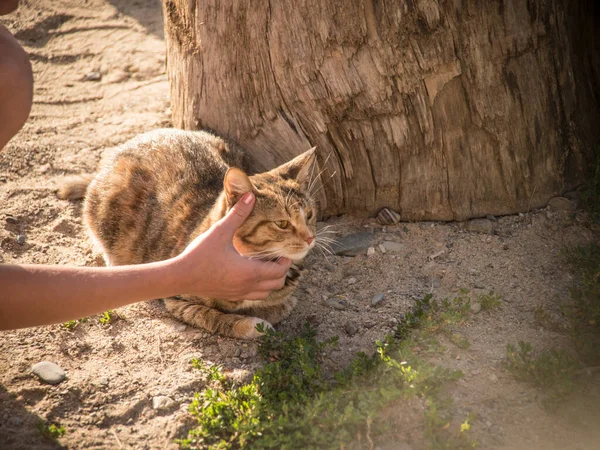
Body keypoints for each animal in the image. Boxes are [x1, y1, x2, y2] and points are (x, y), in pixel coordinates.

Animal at [59, 128, 318, 340]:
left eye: (310, 215)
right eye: (282, 223)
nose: (310, 238)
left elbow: (281, 304)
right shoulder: (178, 299)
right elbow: (211, 316)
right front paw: (251, 324)